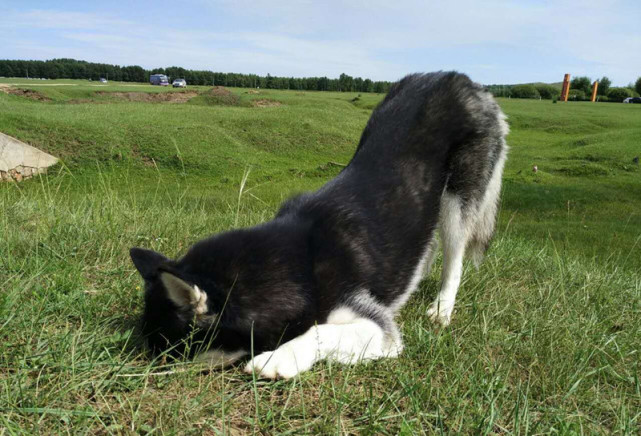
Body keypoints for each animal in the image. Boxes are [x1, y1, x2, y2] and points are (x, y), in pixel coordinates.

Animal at [130, 71, 508, 378]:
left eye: (168, 353)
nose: (137, 374)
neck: (300, 260)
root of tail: (461, 79)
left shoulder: (377, 327)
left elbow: (319, 330)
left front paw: (278, 359)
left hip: (458, 196)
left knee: (454, 257)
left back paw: (442, 307)